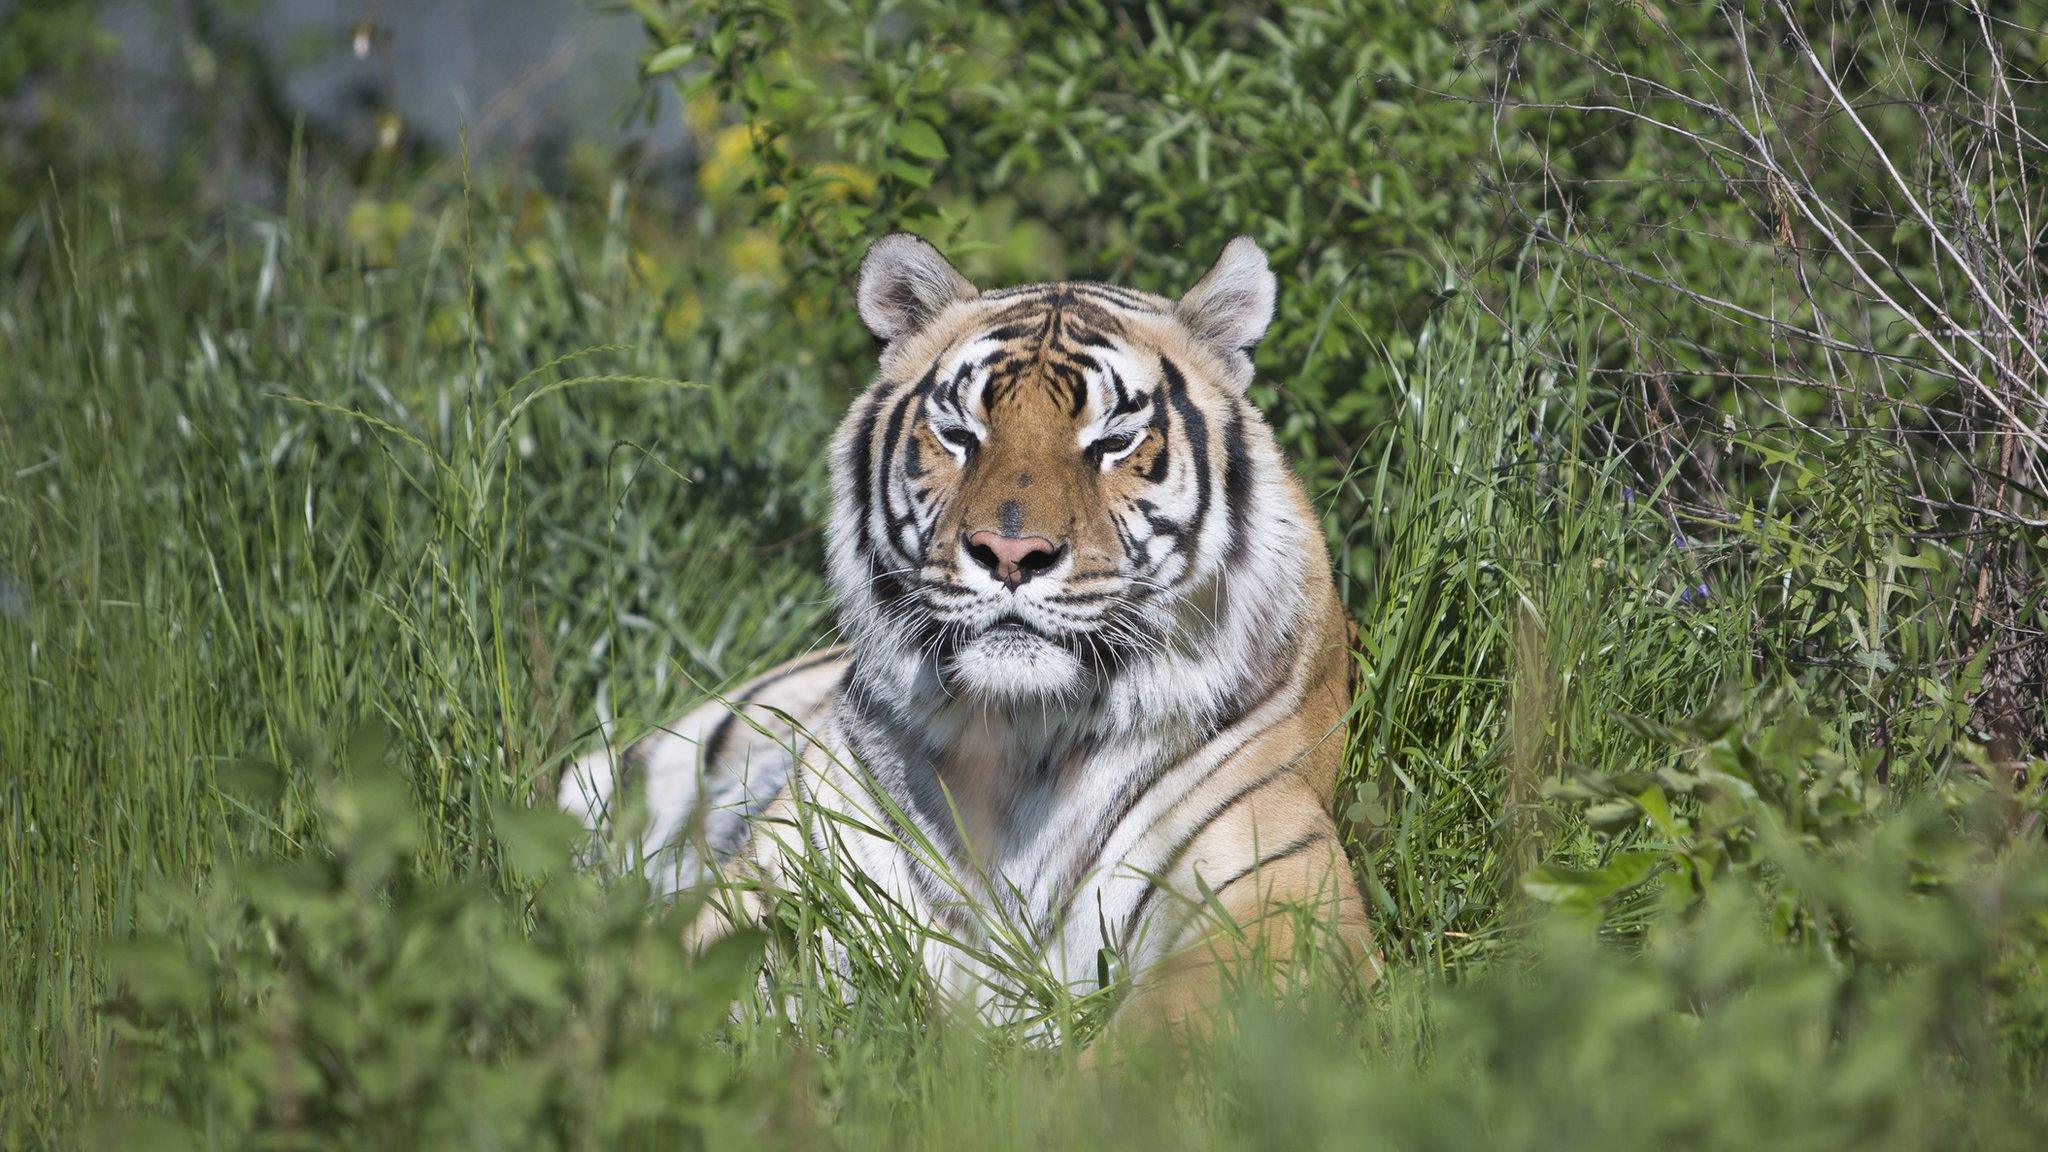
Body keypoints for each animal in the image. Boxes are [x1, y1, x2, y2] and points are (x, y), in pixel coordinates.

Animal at [565, 233, 1376, 1041]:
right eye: (959, 436)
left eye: (1113, 442)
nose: (1011, 554)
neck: (1021, 741)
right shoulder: (786, 879)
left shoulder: (1273, 901)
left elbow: (1157, 1042)